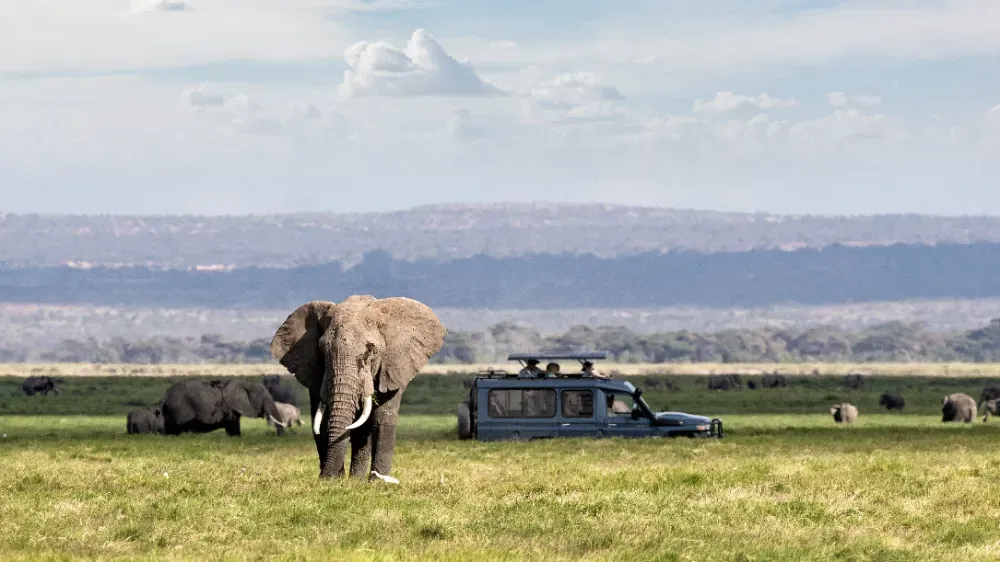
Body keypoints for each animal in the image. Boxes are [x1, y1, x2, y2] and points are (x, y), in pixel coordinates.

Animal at [269, 295, 447, 482]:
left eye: (372, 351)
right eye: (322, 351)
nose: (324, 477)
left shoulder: (393, 368)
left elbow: (382, 418)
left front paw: (377, 483)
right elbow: (322, 421)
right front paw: (332, 480)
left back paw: (358, 480)